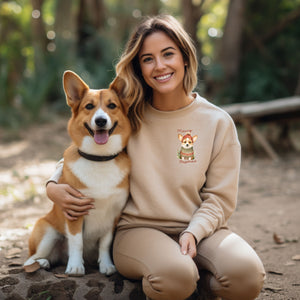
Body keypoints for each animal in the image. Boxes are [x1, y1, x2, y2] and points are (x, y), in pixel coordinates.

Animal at [23, 70, 131, 276]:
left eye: (112, 105)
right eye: (89, 106)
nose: (100, 121)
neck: (99, 158)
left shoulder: (113, 216)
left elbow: (105, 244)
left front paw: (106, 265)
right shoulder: (74, 214)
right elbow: (77, 242)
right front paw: (75, 267)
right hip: (47, 233)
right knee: (30, 259)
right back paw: (42, 263)